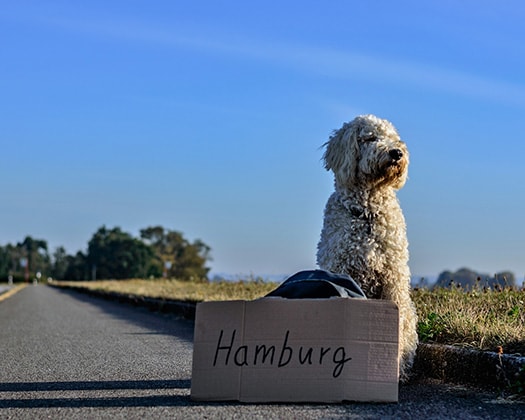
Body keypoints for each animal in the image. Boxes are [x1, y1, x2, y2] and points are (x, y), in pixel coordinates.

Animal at [316, 113, 418, 382]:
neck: (367, 213)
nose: (397, 153)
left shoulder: (394, 277)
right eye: (370, 138)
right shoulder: (340, 268)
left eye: (393, 138)